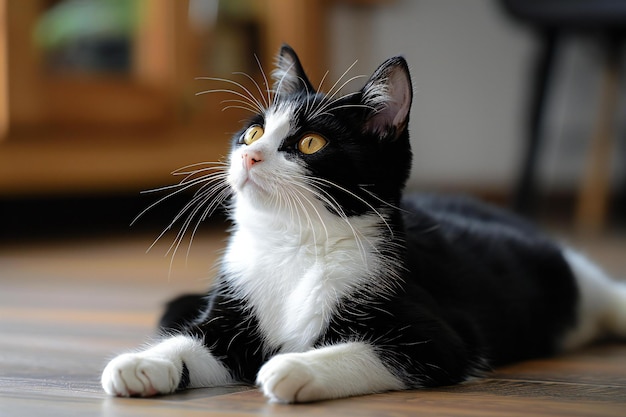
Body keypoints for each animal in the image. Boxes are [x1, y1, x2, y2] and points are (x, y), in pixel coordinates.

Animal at [101, 44, 624, 402]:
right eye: (253, 132)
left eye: (310, 143)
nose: (249, 155)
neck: (293, 244)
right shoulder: (234, 310)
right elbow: (196, 342)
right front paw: (142, 363)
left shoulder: (441, 338)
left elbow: (378, 350)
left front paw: (295, 367)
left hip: (566, 275)